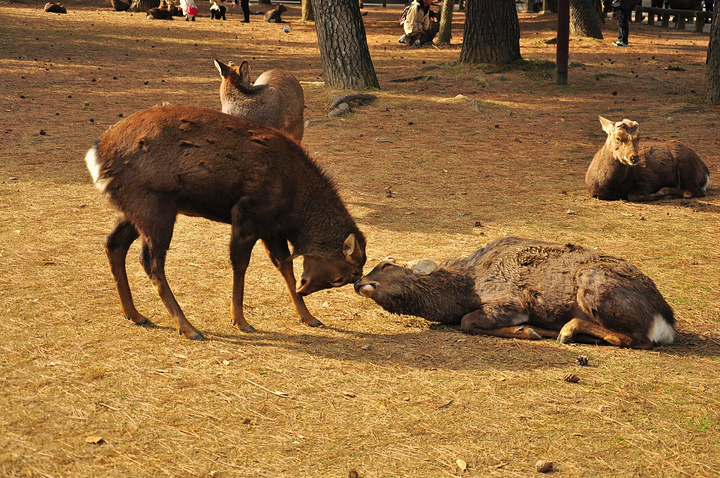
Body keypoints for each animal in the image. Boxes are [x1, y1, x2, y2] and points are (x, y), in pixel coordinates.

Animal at [85, 105, 366, 340]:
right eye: (340, 277)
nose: (304, 289)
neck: (294, 203)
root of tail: (97, 154)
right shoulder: (247, 214)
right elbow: (240, 264)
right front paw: (240, 320)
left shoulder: (271, 228)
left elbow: (284, 264)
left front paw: (308, 317)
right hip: (154, 207)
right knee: (150, 261)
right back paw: (188, 327)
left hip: (132, 211)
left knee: (114, 244)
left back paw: (134, 314)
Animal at [354, 237, 676, 350]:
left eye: (385, 264)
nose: (358, 282)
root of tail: (665, 322)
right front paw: (531, 330)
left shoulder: (510, 302)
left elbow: (468, 322)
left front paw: (526, 330)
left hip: (592, 281)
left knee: (637, 339)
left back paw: (567, 330)